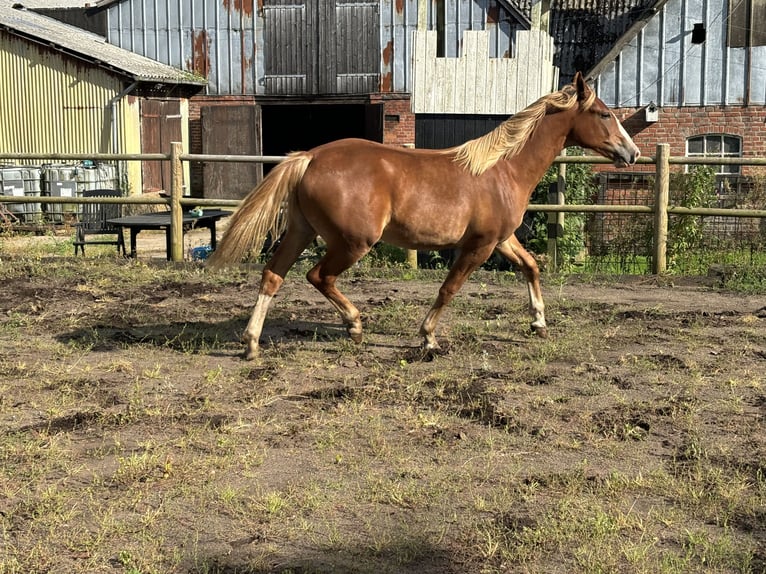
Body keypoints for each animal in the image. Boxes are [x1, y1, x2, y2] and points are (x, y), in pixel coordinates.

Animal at [208, 72, 640, 360]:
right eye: (603, 114)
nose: (632, 152)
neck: (502, 170)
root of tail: (310, 157)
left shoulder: (501, 239)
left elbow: (531, 267)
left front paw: (538, 324)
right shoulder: (479, 246)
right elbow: (449, 289)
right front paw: (428, 337)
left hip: (300, 231)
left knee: (272, 275)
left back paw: (251, 344)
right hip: (352, 242)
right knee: (319, 276)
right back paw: (355, 325)